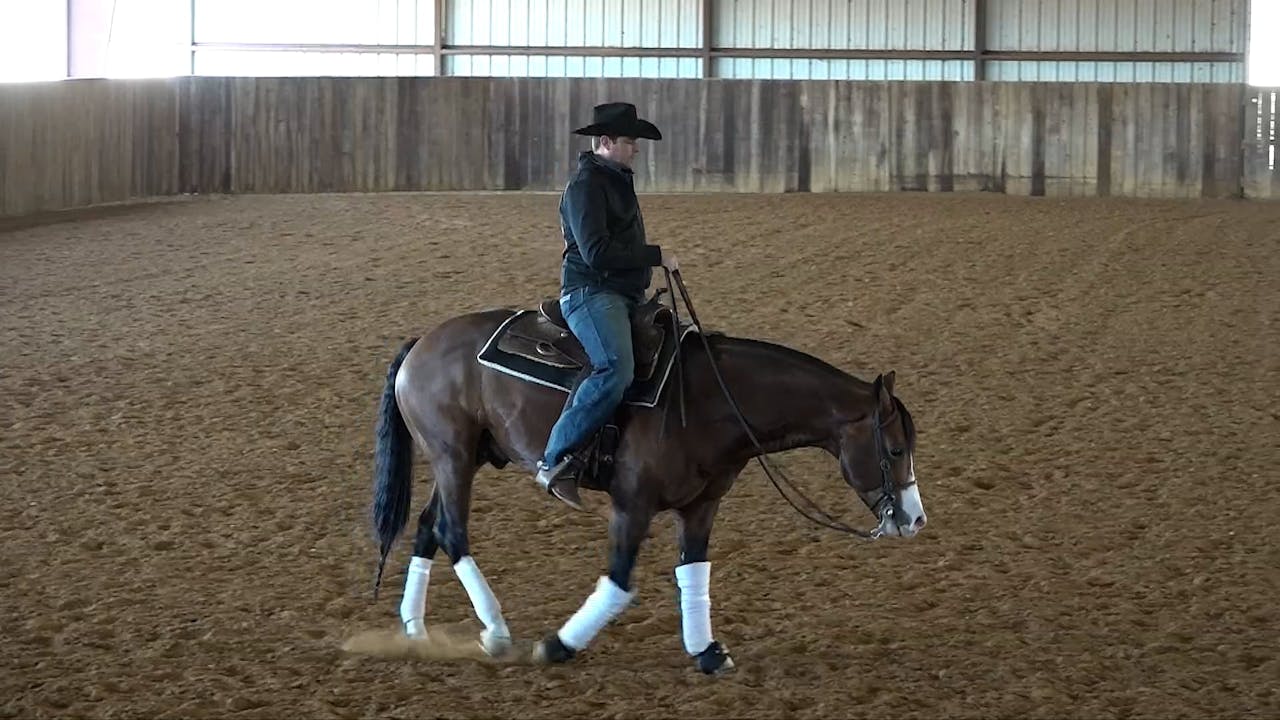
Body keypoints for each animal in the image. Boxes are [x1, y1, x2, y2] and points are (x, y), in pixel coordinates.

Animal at [369, 283, 926, 674]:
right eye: (896, 448)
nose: (915, 520)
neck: (710, 398)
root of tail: (421, 342)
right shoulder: (631, 504)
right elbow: (618, 583)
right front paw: (556, 645)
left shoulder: (702, 504)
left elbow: (694, 571)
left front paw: (707, 651)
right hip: (453, 455)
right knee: (452, 532)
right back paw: (497, 633)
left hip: (464, 457)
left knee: (428, 526)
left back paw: (415, 630)